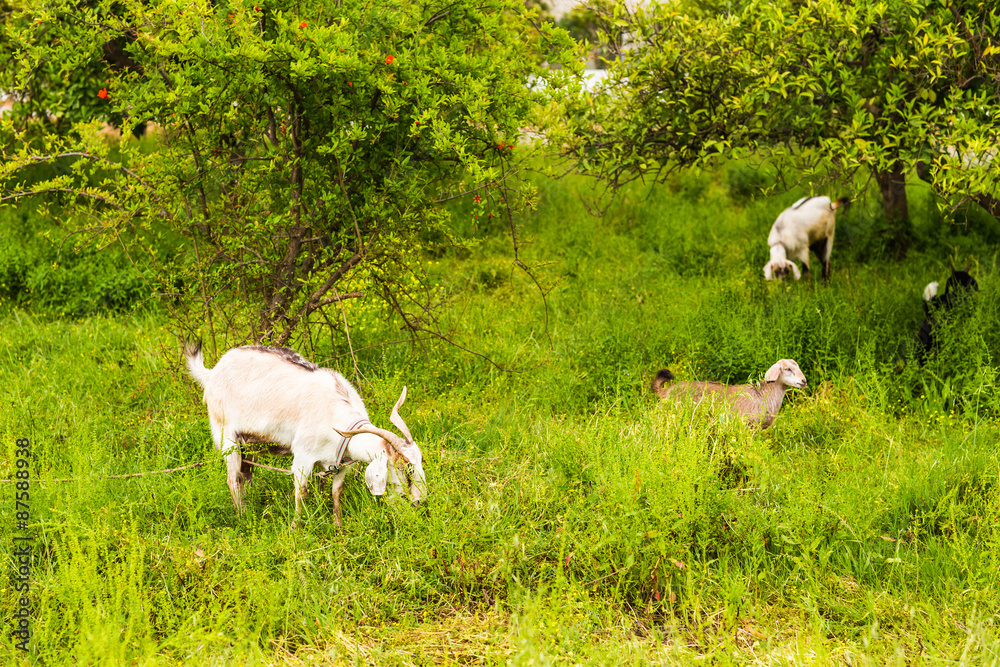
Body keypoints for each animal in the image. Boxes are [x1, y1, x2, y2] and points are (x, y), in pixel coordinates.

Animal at [184, 344, 426, 528]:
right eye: (406, 468)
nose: (420, 501)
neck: (336, 414)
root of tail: (212, 372)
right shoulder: (302, 458)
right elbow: (301, 492)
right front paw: (296, 528)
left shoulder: (340, 461)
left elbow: (337, 492)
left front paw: (338, 526)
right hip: (227, 437)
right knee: (233, 478)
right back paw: (243, 517)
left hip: (249, 444)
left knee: (245, 474)